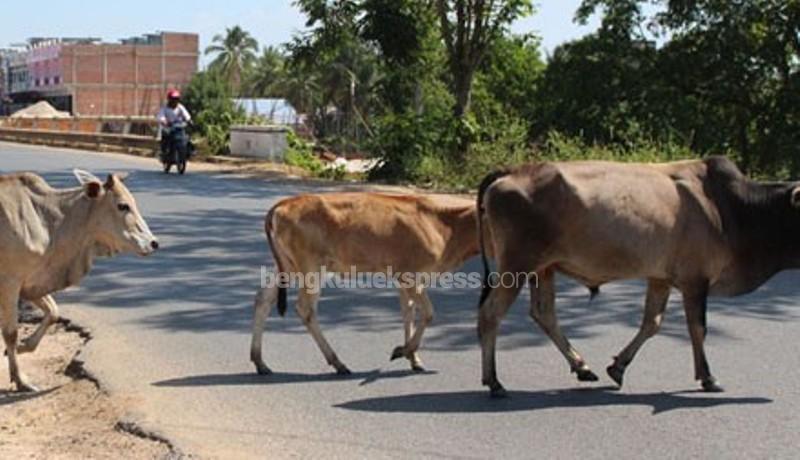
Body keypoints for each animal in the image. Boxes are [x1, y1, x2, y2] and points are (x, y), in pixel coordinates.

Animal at [0, 170, 159, 392]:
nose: (153, 243)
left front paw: (24, 346)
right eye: (122, 205)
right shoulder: (9, 283)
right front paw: (21, 380)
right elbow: (10, 333)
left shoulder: (30, 284)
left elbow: (54, 312)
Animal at [253, 192, 484, 376]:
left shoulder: (406, 279)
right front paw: (402, 351)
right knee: (305, 309)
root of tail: (282, 204)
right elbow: (428, 313)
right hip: (311, 266)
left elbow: (408, 314)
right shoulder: (410, 276)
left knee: (263, 299)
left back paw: (260, 362)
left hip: (286, 265)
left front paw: (414, 359)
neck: (444, 226)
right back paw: (338, 363)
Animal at [476, 156, 800, 398]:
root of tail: (511, 171)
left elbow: (651, 323)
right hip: (517, 266)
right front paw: (708, 377)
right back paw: (494, 382)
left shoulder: (660, 278)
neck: (730, 209)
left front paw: (618, 367)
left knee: (544, 313)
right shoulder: (696, 281)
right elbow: (698, 328)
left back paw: (582, 367)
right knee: (490, 314)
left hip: (544, 268)